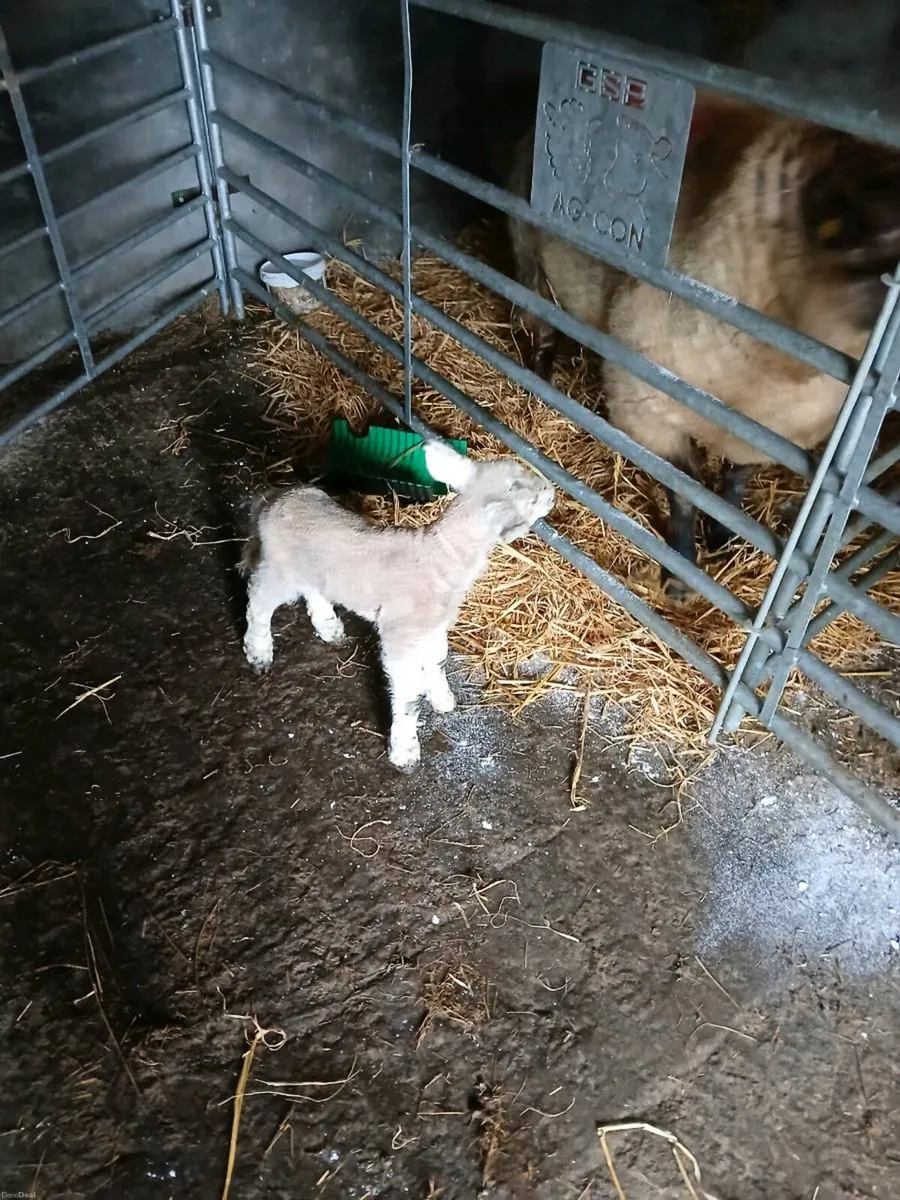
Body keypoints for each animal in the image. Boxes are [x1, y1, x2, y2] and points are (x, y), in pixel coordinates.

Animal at [239, 440, 555, 770]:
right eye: (525, 495)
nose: (552, 492)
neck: (440, 555)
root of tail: (274, 498)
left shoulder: (434, 626)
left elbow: (438, 661)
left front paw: (441, 698)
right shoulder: (401, 634)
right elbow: (408, 696)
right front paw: (405, 750)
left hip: (312, 568)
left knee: (313, 590)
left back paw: (329, 627)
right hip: (280, 568)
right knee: (258, 600)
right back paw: (258, 652)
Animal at [508, 93, 900, 600]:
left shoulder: (769, 436)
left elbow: (732, 485)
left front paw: (722, 537)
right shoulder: (647, 409)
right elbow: (685, 491)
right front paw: (680, 574)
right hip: (530, 259)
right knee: (541, 328)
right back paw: (539, 382)